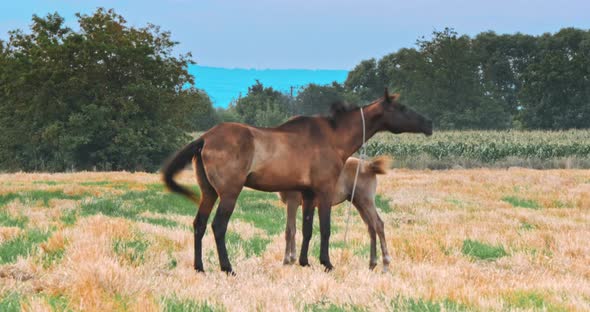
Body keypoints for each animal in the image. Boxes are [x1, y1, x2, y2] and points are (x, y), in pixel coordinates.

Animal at [164, 89, 432, 274]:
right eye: (402, 108)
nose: (429, 124)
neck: (332, 137)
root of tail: (205, 138)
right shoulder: (323, 192)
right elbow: (324, 229)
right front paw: (326, 263)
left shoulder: (308, 195)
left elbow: (306, 229)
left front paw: (304, 262)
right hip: (229, 193)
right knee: (218, 226)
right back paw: (227, 268)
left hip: (208, 192)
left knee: (199, 224)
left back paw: (199, 267)